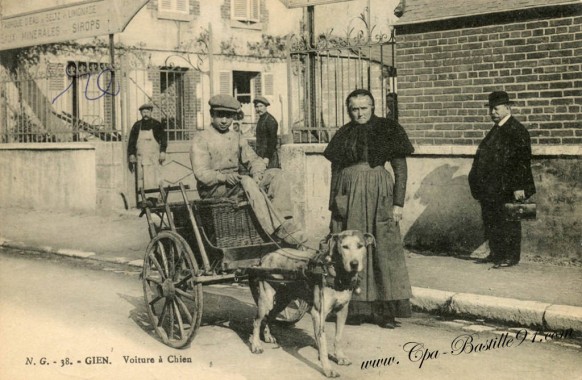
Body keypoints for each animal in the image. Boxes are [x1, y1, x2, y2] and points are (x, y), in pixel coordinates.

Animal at [249, 229, 376, 378]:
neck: (336, 274)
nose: (354, 264)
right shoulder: (318, 314)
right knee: (257, 320)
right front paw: (327, 368)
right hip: (266, 299)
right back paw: (256, 345)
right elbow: (323, 343)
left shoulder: (342, 311)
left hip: (283, 299)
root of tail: (267, 256)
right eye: (344, 247)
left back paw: (267, 336)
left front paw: (339, 357)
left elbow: (338, 337)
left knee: (269, 316)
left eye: (360, 246)